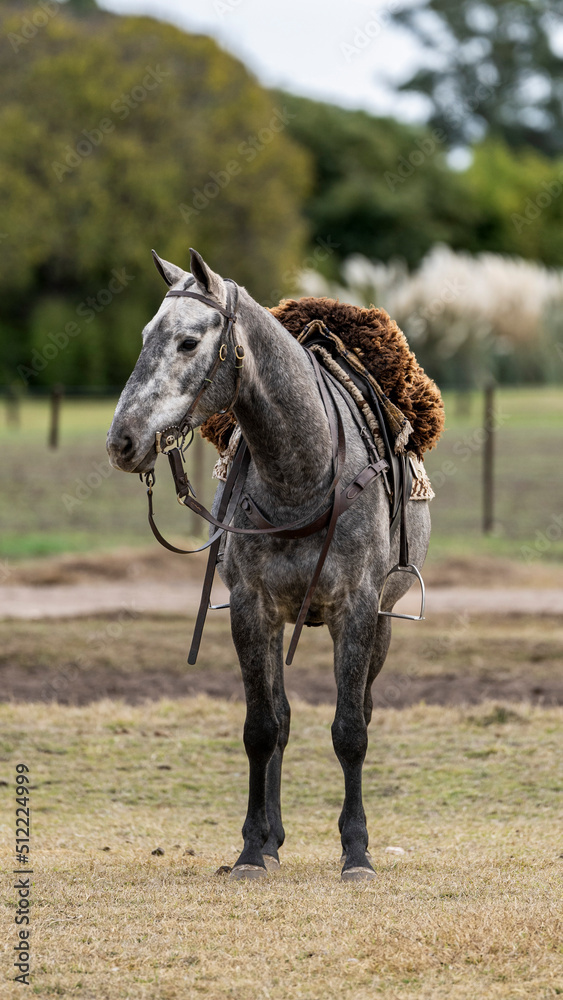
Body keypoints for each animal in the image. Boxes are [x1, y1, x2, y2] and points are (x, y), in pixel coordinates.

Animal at [106, 248, 431, 881]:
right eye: (145, 336)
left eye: (187, 341)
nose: (122, 441)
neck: (302, 473)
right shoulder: (252, 607)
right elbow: (262, 728)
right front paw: (254, 850)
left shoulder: (357, 609)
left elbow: (350, 730)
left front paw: (357, 852)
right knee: (278, 720)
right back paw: (273, 838)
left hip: (382, 622)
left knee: (361, 710)